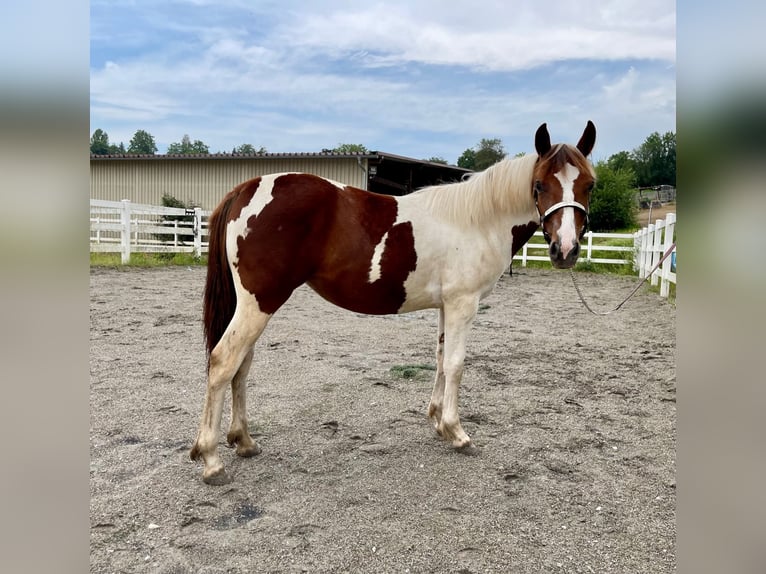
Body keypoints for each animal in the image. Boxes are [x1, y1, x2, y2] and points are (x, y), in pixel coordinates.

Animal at [192, 122, 600, 486]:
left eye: (589, 184)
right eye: (540, 184)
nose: (565, 250)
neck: (479, 220)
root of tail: (245, 189)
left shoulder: (446, 306)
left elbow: (440, 359)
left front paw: (437, 421)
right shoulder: (463, 304)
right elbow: (456, 364)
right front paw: (457, 432)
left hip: (253, 306)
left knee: (241, 366)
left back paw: (243, 441)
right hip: (259, 303)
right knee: (224, 362)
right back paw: (211, 460)